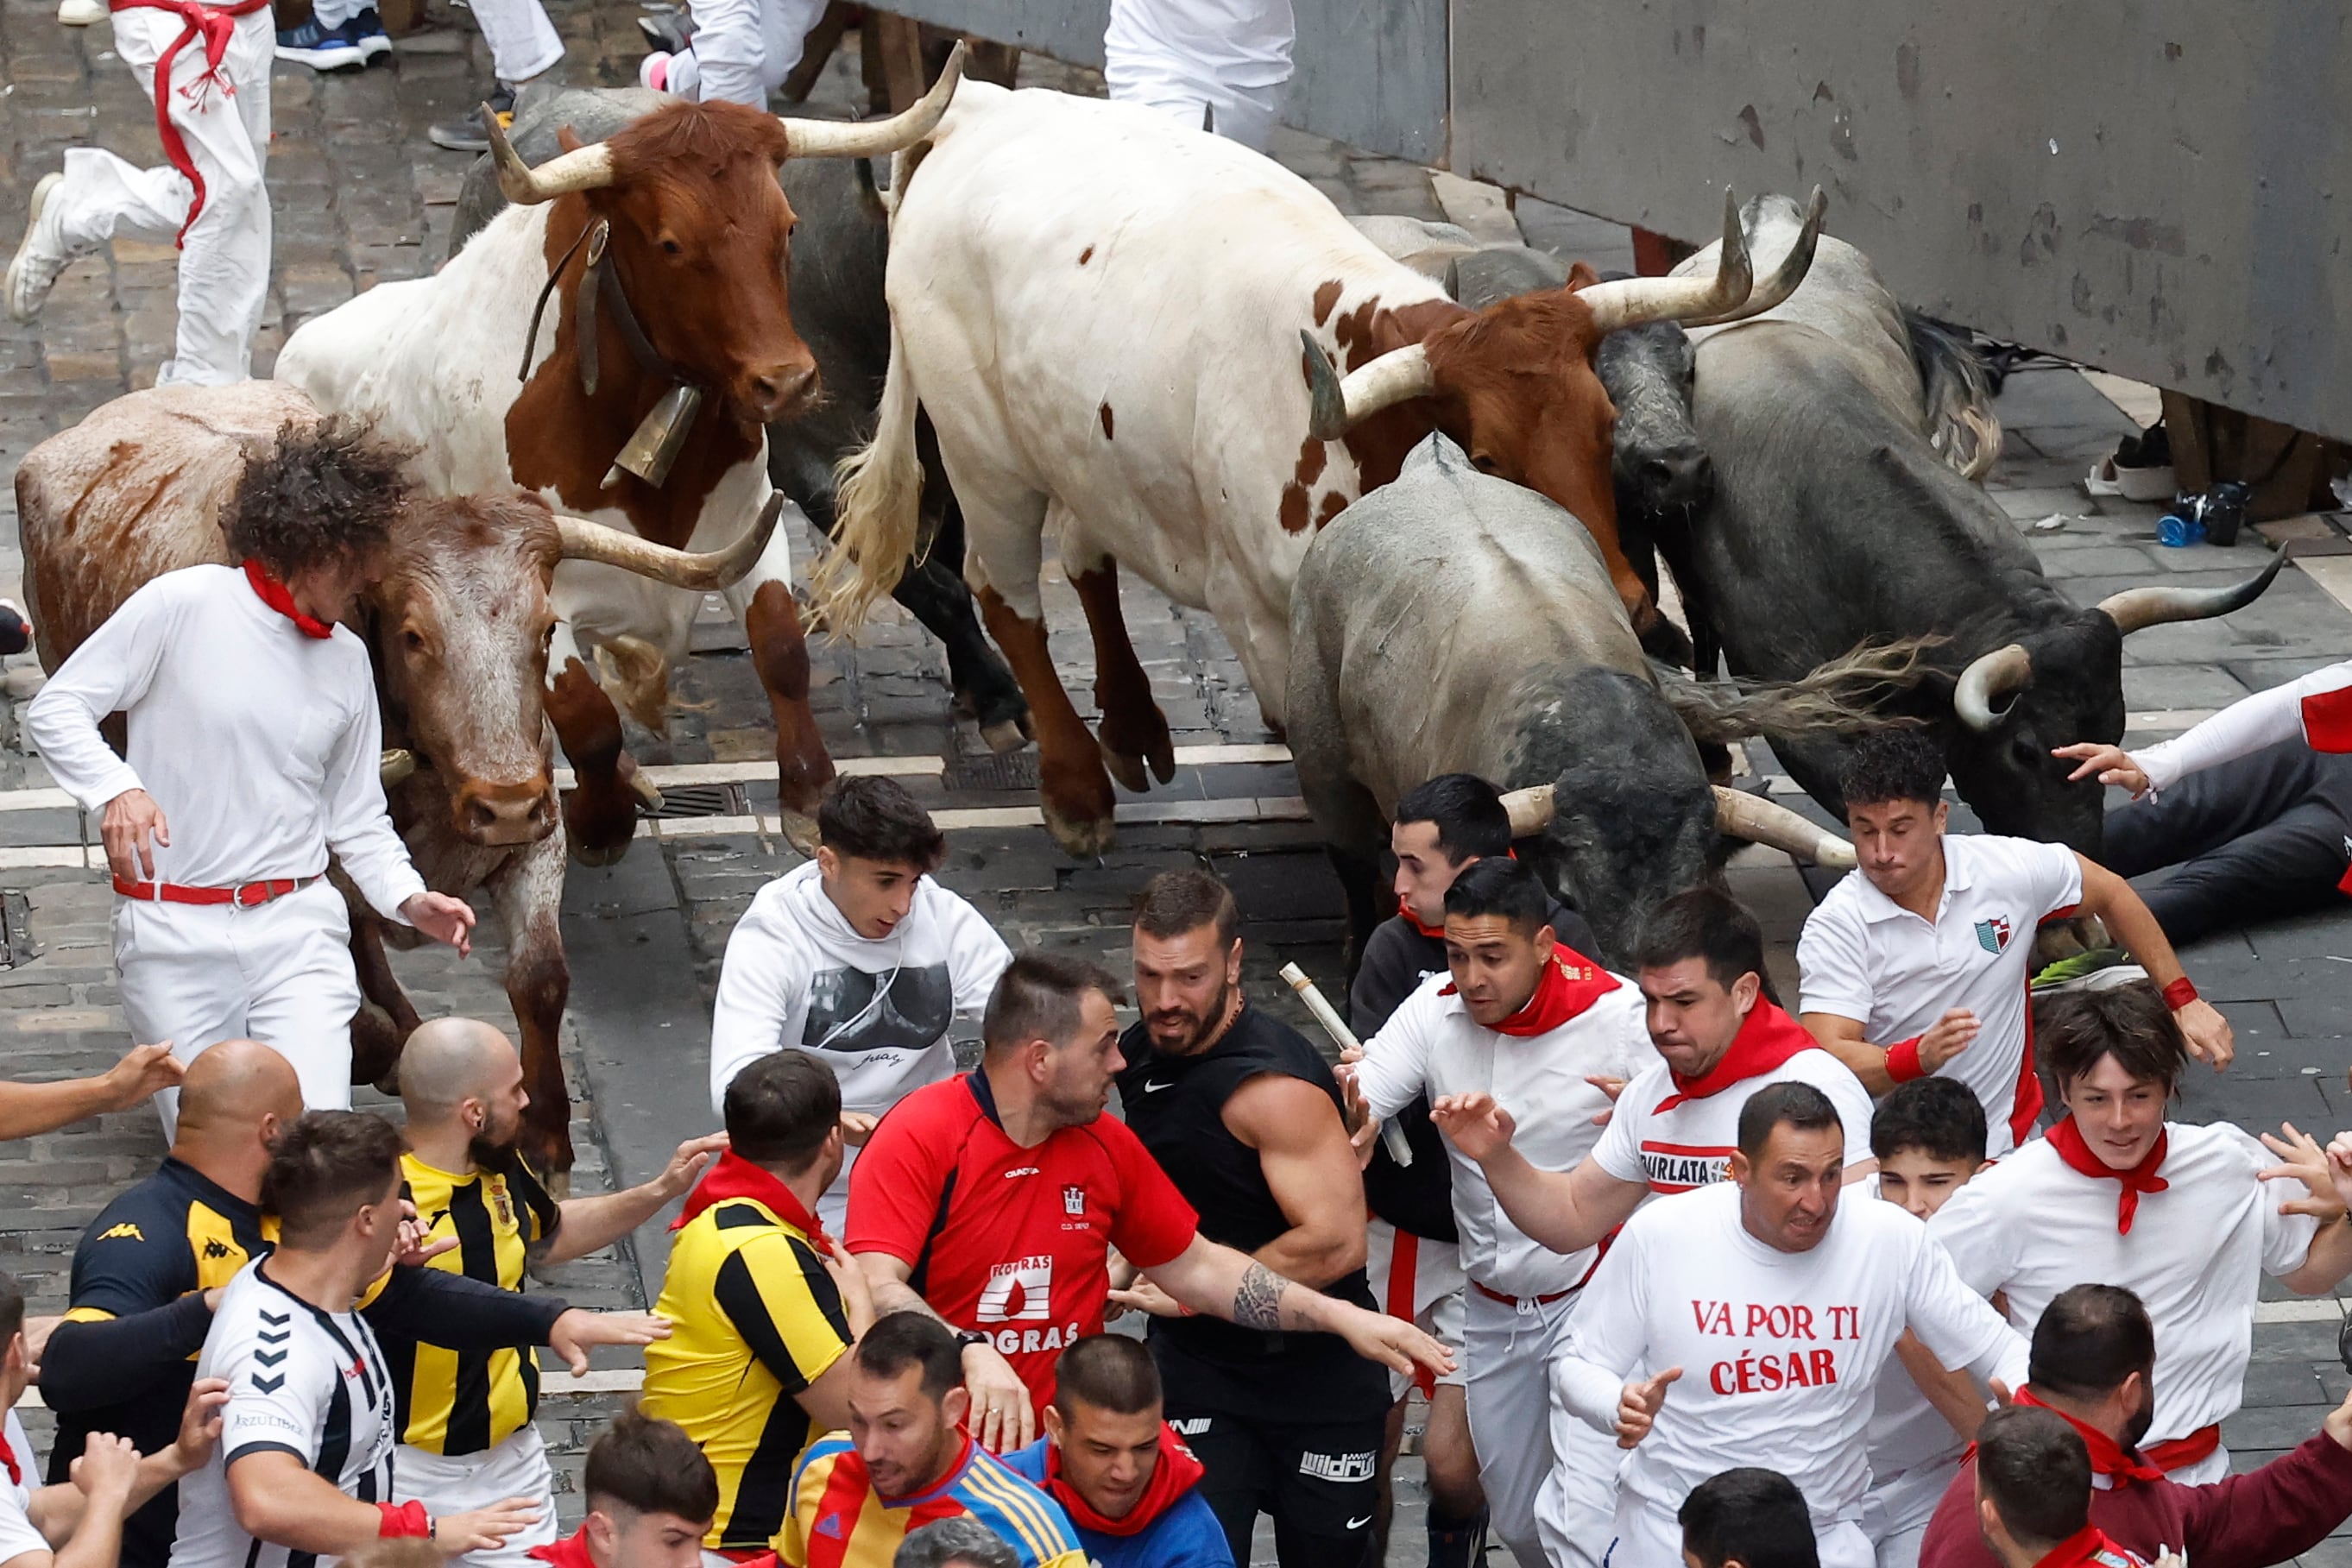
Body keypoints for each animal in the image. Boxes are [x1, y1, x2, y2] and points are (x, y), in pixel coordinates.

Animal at [442, 87, 1030, 747]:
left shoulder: (939, 457)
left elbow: (946, 561)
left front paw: (978, 686)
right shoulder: (815, 469)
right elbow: (932, 585)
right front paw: (1000, 695)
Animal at [809, 85, 1815, 860]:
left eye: (1605, 425)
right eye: (1489, 458)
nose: (1636, 606)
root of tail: (977, 108)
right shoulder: (1260, 622)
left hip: (1085, 439)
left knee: (1089, 555)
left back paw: (1133, 727)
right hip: (983, 453)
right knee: (1005, 593)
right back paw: (1075, 788)